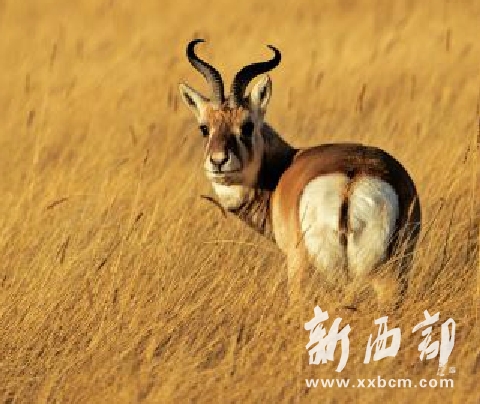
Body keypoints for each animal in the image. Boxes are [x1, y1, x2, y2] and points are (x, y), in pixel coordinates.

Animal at [179, 39, 421, 306]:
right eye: (204, 128)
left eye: (247, 125)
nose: (219, 161)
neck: (285, 167)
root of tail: (352, 178)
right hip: (390, 276)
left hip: (306, 270)